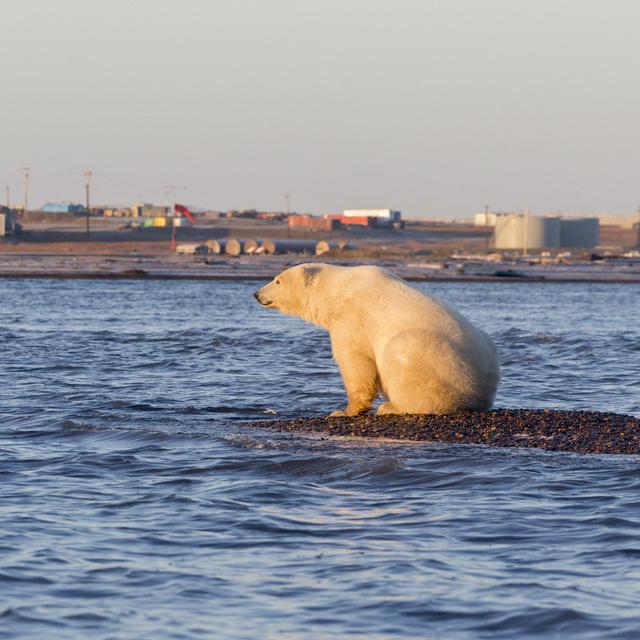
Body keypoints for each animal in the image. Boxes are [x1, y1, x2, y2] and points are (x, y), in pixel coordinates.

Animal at [254, 264, 500, 418]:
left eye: (277, 280)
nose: (256, 294)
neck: (337, 287)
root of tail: (481, 394)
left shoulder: (351, 315)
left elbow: (356, 360)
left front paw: (344, 411)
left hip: (434, 358)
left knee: (404, 359)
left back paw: (391, 407)